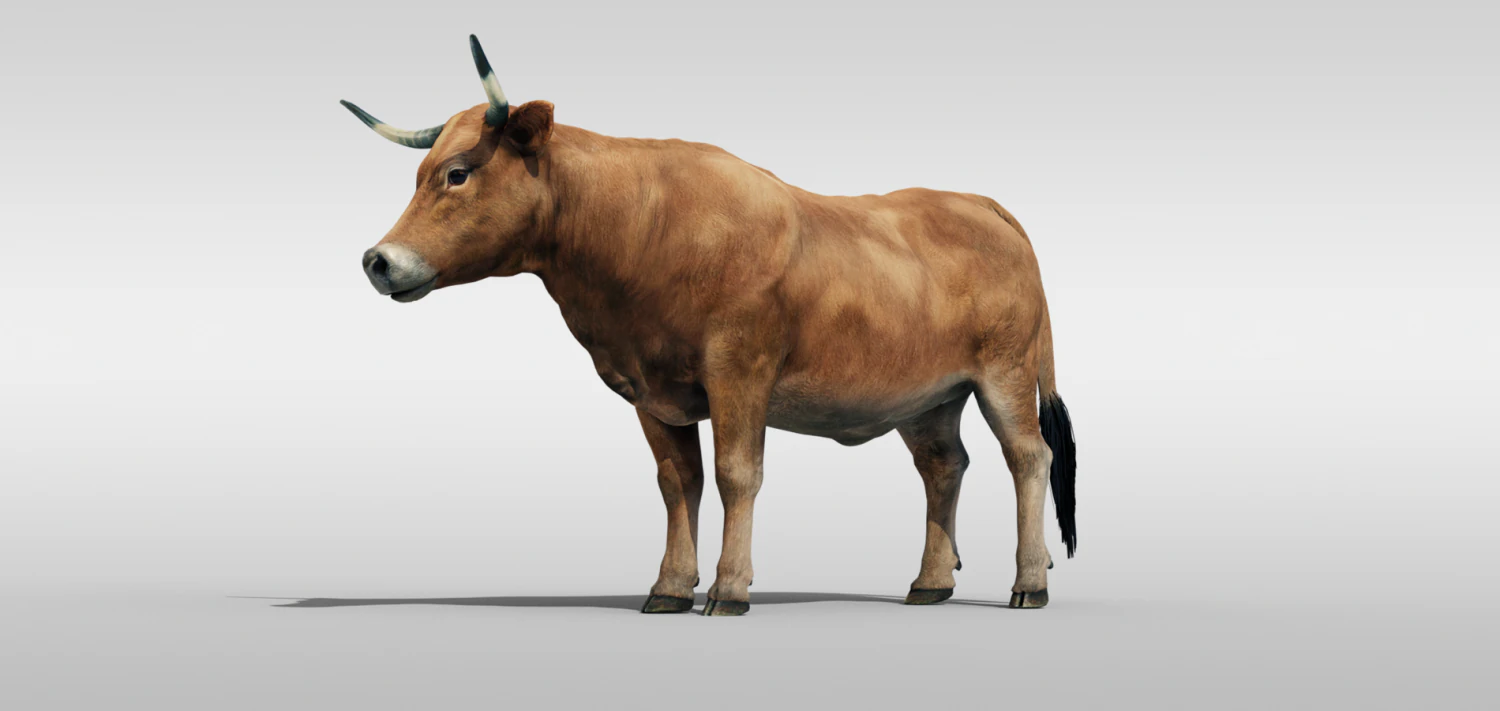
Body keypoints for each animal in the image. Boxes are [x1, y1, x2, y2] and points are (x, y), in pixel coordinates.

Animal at [342, 35, 1077, 616]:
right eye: (420, 173)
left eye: (458, 173)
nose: (378, 261)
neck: (642, 231)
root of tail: (979, 202)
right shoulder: (651, 393)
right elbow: (679, 482)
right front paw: (669, 586)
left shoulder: (739, 371)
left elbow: (735, 474)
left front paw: (728, 588)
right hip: (928, 396)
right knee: (943, 465)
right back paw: (929, 582)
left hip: (1005, 374)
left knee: (1028, 456)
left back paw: (1030, 583)